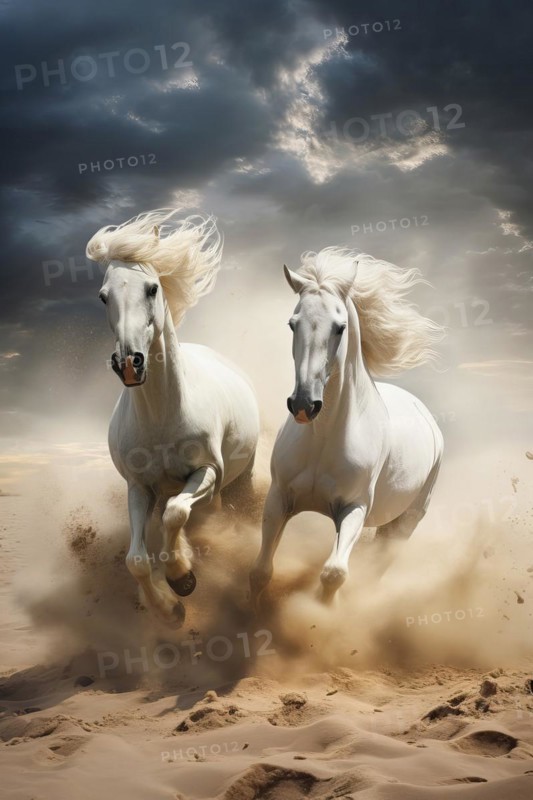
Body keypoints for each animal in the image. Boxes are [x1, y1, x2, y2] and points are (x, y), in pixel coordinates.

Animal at [87, 208, 260, 626]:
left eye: (151, 288)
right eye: (103, 296)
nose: (129, 363)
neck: (161, 418)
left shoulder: (207, 473)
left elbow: (175, 514)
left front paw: (182, 576)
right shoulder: (138, 487)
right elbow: (135, 559)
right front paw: (169, 609)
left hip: (239, 480)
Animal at [250, 247, 444, 606]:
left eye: (340, 327)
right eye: (292, 324)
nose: (304, 404)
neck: (323, 437)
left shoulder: (354, 509)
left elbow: (333, 573)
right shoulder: (279, 498)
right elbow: (260, 572)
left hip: (406, 523)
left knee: (378, 566)